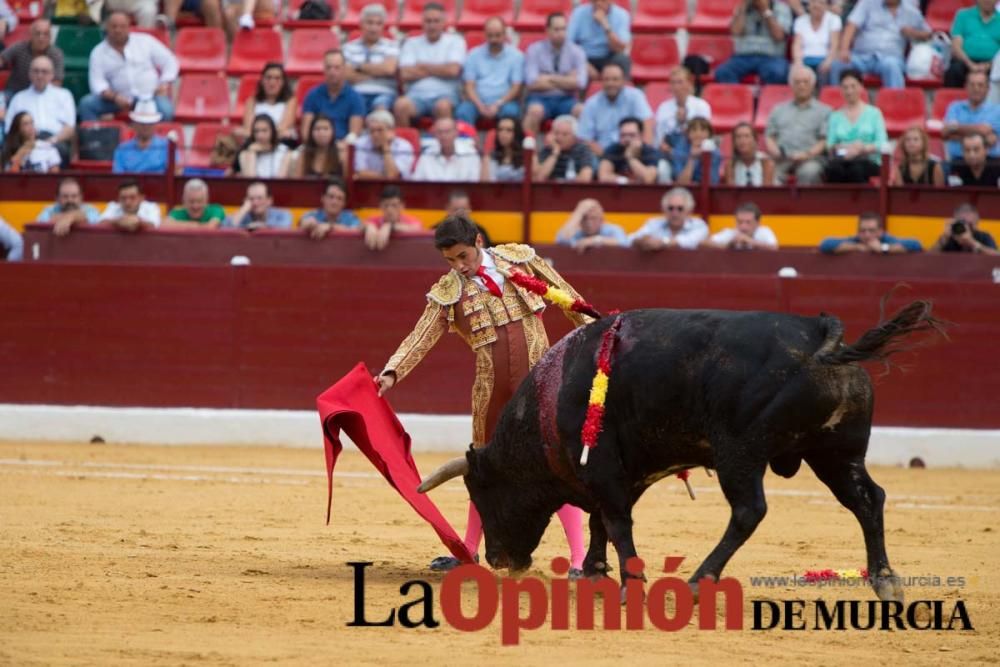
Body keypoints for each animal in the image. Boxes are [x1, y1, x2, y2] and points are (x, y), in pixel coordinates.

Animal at [416, 300, 944, 604]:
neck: (552, 394)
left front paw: (629, 584)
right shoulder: (621, 472)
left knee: (749, 511)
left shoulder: (604, 468)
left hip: (740, 452)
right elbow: (600, 521)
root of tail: (820, 335)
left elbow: (614, 521)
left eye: (483, 493)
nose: (499, 559)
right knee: (867, 499)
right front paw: (595, 574)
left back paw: (698, 581)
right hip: (836, 452)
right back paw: (886, 580)